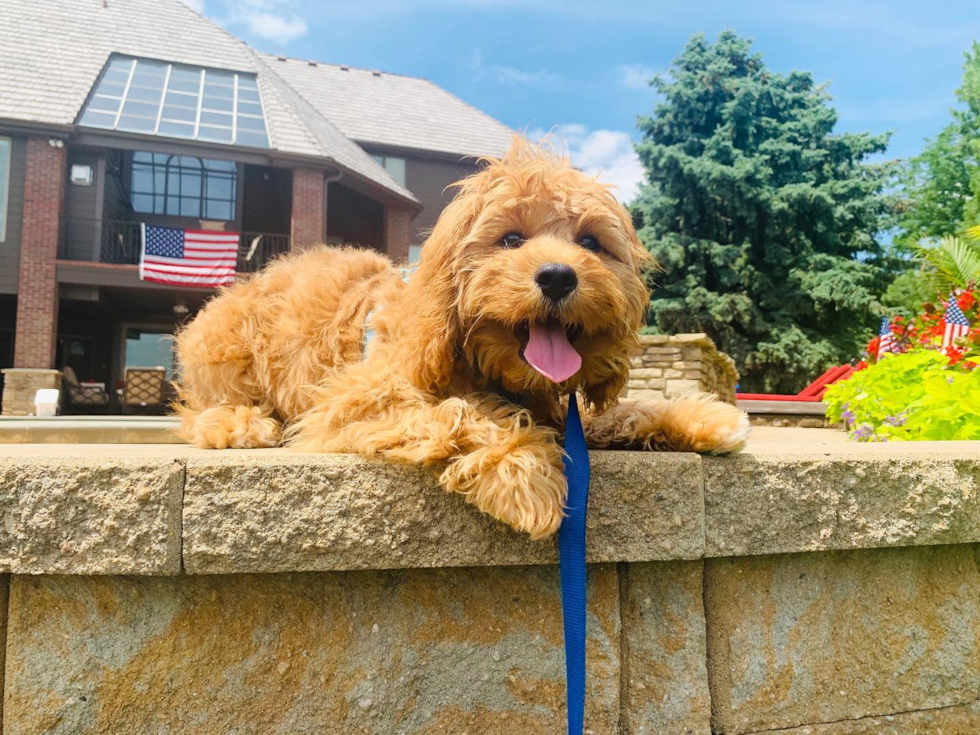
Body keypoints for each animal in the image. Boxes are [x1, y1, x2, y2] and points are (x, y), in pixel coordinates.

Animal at [176, 139, 748, 540]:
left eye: (590, 242)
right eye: (511, 238)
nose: (558, 276)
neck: (488, 364)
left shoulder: (554, 408)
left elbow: (619, 411)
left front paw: (701, 418)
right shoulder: (355, 397)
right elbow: (459, 413)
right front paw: (522, 471)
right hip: (222, 343)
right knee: (200, 411)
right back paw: (241, 423)